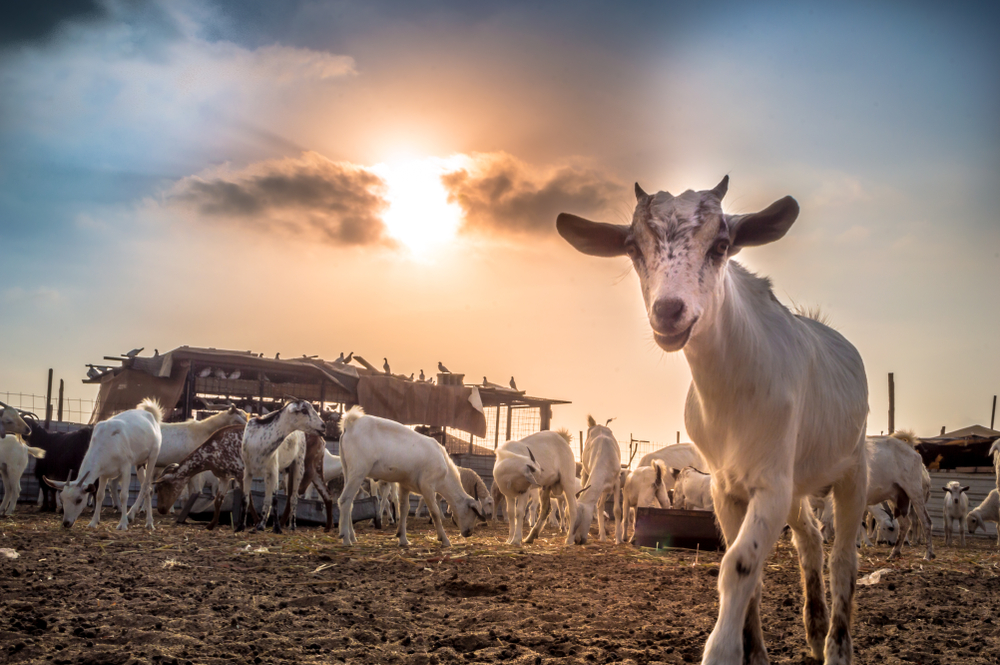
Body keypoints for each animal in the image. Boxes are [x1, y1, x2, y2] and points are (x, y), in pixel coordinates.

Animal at [44, 399, 163, 530]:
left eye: (79, 500)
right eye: (62, 499)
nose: (66, 523)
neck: (106, 442)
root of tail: (150, 415)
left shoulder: (126, 467)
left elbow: (124, 495)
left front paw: (122, 524)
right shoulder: (103, 473)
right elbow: (100, 495)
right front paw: (93, 522)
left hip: (153, 456)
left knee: (147, 486)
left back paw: (148, 522)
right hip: (140, 463)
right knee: (147, 488)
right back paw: (135, 517)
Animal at [237, 399, 324, 533]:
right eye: (304, 410)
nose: (323, 425)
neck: (260, 442)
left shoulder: (274, 470)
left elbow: (275, 499)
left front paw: (277, 528)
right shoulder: (248, 471)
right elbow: (245, 498)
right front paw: (241, 527)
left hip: (299, 464)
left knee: (293, 497)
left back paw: (292, 525)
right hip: (268, 474)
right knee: (267, 498)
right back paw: (261, 525)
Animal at [337, 406, 484, 547]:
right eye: (473, 512)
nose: (469, 533)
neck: (445, 470)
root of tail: (350, 425)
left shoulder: (404, 484)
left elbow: (404, 509)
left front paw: (402, 538)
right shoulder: (427, 486)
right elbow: (434, 512)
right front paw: (445, 540)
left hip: (347, 470)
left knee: (350, 503)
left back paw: (352, 536)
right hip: (358, 471)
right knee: (345, 500)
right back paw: (345, 539)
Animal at [571, 416, 624, 544]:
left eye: (579, 519)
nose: (577, 540)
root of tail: (597, 425)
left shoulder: (616, 481)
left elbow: (617, 510)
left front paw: (618, 539)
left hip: (604, 488)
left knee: (600, 505)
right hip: (586, 473)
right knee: (600, 506)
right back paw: (603, 536)